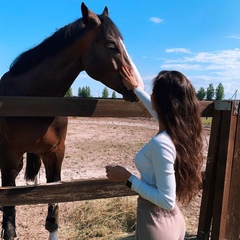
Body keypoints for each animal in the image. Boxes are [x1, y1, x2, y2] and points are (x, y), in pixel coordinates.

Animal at [0, 2, 142, 239]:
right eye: (110, 45)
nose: (137, 86)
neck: (31, 100)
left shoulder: (55, 154)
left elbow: (53, 217)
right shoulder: (9, 158)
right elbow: (9, 221)